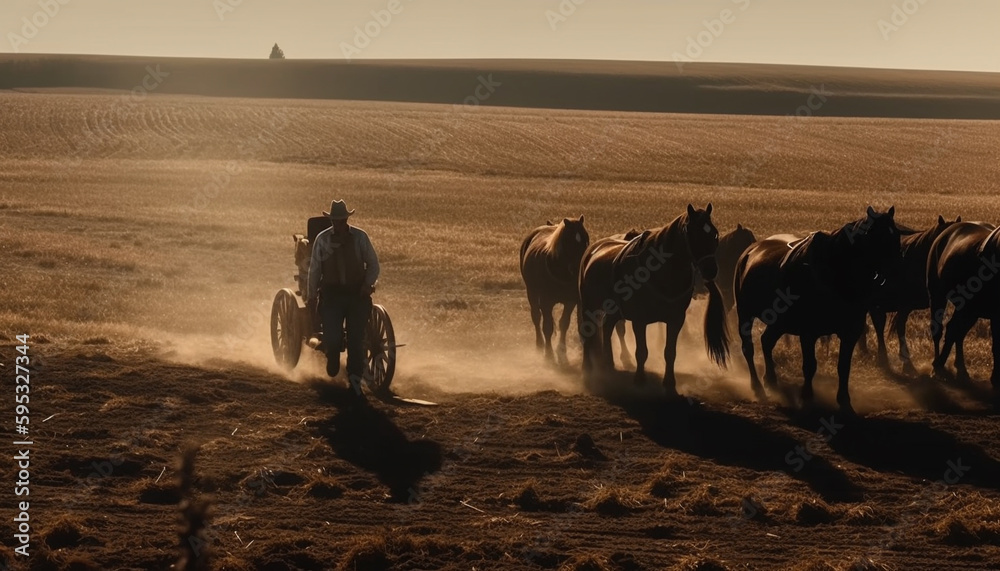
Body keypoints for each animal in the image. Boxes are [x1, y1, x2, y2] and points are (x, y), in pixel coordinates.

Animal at [520, 217, 588, 364]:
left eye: (586, 239)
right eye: (569, 241)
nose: (579, 266)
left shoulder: (570, 302)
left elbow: (564, 324)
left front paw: (561, 350)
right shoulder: (546, 302)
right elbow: (547, 327)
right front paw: (549, 354)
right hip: (531, 292)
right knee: (536, 316)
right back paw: (540, 344)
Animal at [580, 206, 728, 398]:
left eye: (714, 234)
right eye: (694, 234)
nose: (711, 270)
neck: (661, 274)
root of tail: (593, 249)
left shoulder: (676, 320)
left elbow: (670, 352)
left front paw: (670, 383)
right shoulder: (639, 320)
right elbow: (642, 352)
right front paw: (640, 381)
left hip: (614, 310)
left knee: (607, 327)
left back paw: (608, 364)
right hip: (589, 306)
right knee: (589, 331)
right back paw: (587, 368)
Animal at [736, 208, 900, 414]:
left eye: (897, 234)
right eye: (875, 235)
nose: (895, 275)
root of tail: (750, 252)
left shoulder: (850, 333)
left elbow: (844, 366)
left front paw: (844, 401)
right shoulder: (808, 332)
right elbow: (810, 366)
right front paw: (807, 398)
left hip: (779, 323)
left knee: (766, 342)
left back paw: (771, 381)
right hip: (745, 315)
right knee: (748, 348)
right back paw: (757, 386)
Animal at [924, 219, 1000, 388]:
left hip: (969, 309)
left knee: (957, 332)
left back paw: (960, 369)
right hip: (937, 296)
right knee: (940, 330)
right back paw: (937, 366)